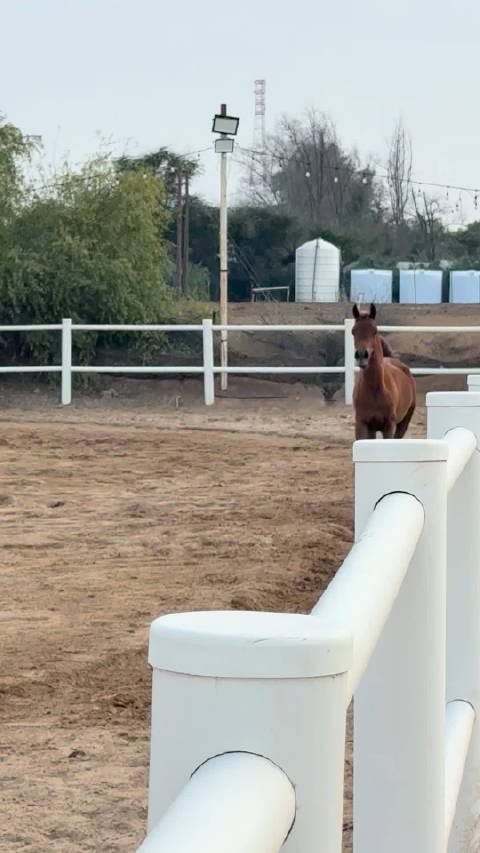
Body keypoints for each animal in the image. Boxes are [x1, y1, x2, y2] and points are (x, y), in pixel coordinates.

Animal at [352, 303, 416, 440]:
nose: (361, 355)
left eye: (374, 331)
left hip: (404, 422)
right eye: (353, 331)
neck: (375, 390)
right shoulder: (361, 424)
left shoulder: (389, 425)